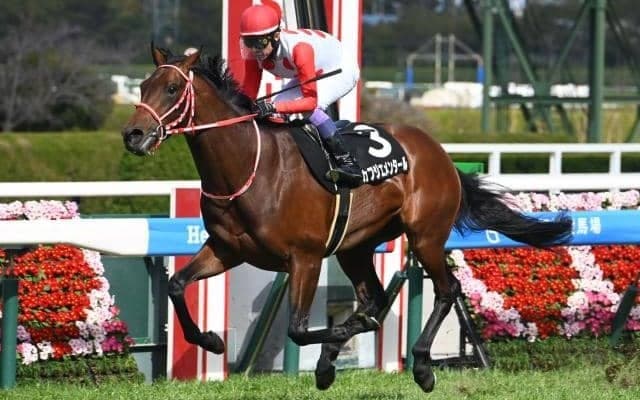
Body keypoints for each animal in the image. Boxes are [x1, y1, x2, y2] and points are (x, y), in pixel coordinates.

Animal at [122, 45, 572, 393]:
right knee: (375, 298)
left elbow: (299, 328)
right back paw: (331, 362)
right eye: (142, 87)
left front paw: (334, 342)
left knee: (446, 290)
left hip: (425, 236)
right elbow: (177, 286)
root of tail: (439, 152)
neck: (248, 167)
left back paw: (421, 366)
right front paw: (212, 341)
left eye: (173, 88)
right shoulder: (227, 249)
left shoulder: (304, 257)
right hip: (354, 246)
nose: (132, 135)